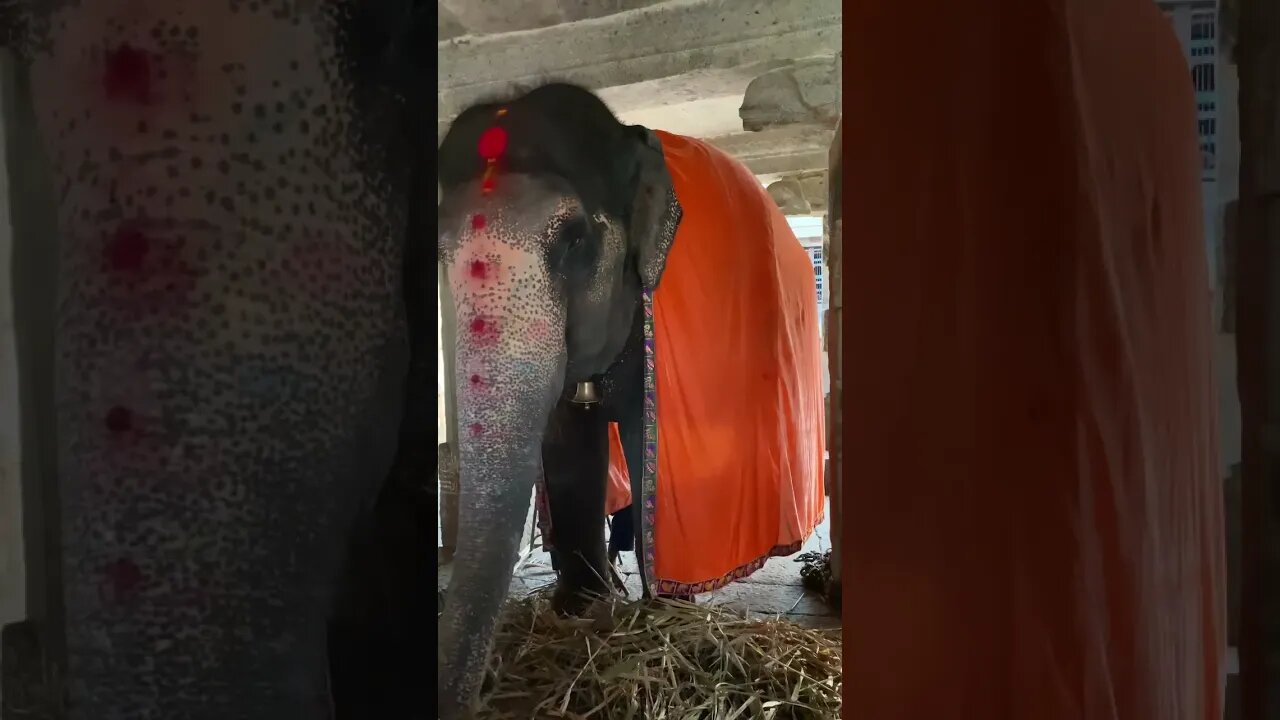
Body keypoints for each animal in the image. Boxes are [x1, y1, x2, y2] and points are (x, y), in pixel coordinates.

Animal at [435, 82, 824, 712]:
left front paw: (662, 613)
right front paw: (586, 608)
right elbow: (566, 438)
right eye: (439, 254)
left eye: (574, 240)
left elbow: (650, 439)